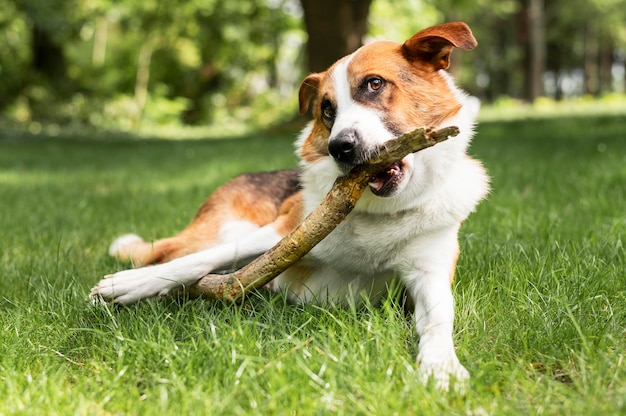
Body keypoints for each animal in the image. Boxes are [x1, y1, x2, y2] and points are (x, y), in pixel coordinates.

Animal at [90, 22, 488, 386]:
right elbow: (196, 262)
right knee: (178, 253)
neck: (378, 214)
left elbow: (440, 318)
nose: (340, 148)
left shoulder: (429, 272)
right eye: (327, 110)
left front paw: (441, 365)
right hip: (225, 229)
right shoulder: (284, 232)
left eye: (375, 84)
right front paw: (128, 285)